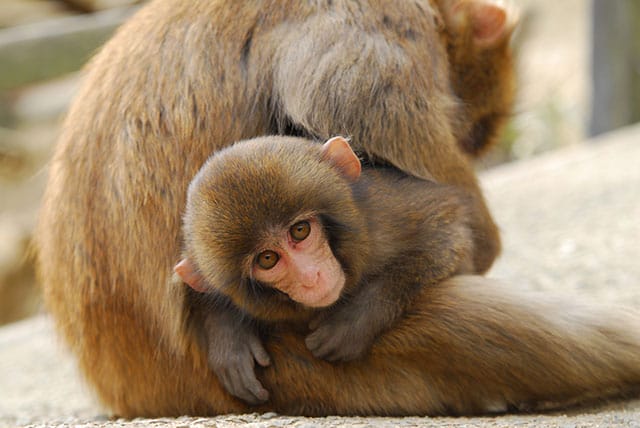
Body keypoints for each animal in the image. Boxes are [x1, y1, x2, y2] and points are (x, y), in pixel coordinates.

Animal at [175, 137, 476, 404]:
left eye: (300, 230)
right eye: (268, 259)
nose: (311, 277)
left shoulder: (384, 215)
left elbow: (449, 234)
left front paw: (355, 319)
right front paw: (230, 338)